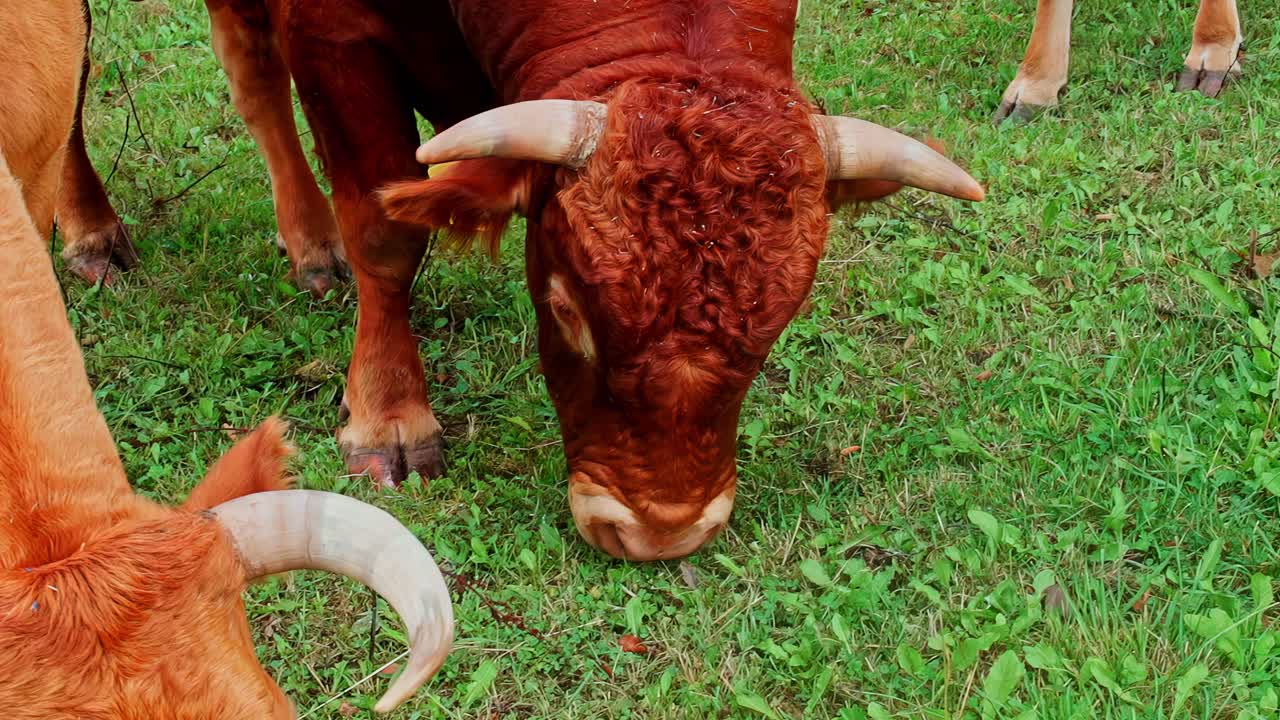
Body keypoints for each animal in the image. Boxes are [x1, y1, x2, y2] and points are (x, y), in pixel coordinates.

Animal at [198, 0, 984, 561]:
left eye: (773, 333)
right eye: (567, 310)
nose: (659, 534)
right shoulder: (335, 36)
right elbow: (384, 234)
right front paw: (389, 414)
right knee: (254, 75)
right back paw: (305, 239)